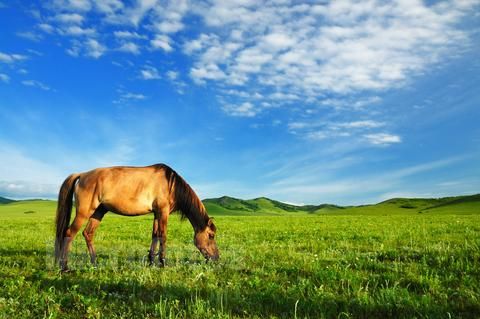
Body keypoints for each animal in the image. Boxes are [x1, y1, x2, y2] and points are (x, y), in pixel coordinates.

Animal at [54, 164, 218, 272]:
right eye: (211, 235)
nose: (217, 258)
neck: (171, 185)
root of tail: (82, 174)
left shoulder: (156, 213)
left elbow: (155, 235)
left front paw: (151, 262)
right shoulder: (163, 212)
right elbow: (163, 236)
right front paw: (163, 263)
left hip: (99, 212)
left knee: (88, 234)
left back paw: (95, 263)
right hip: (84, 212)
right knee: (69, 234)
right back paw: (65, 267)